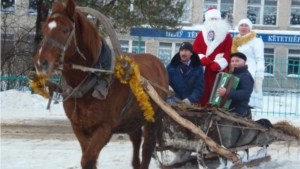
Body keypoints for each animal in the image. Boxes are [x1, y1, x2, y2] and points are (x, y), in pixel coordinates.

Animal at [32, 0, 169, 169]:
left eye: (65, 30)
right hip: (133, 118)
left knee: (147, 148)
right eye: (44, 28)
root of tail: (158, 62)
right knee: (136, 140)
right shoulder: (78, 127)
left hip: (154, 118)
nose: (40, 62)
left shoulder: (104, 128)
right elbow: (86, 158)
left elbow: (88, 159)